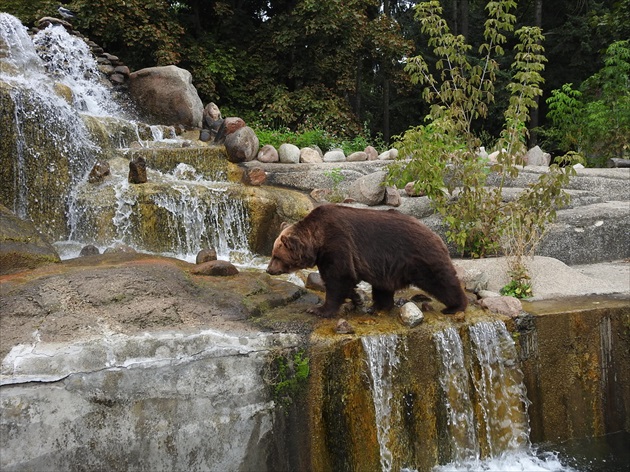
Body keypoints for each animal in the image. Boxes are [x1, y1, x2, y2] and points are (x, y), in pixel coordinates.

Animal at [266, 204, 470, 318]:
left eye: (276, 255)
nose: (269, 270)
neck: (318, 241)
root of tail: (435, 234)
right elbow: (346, 280)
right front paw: (356, 298)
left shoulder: (337, 243)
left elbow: (339, 277)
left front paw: (318, 309)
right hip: (388, 265)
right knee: (382, 287)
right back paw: (378, 306)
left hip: (420, 257)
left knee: (442, 281)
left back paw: (455, 306)